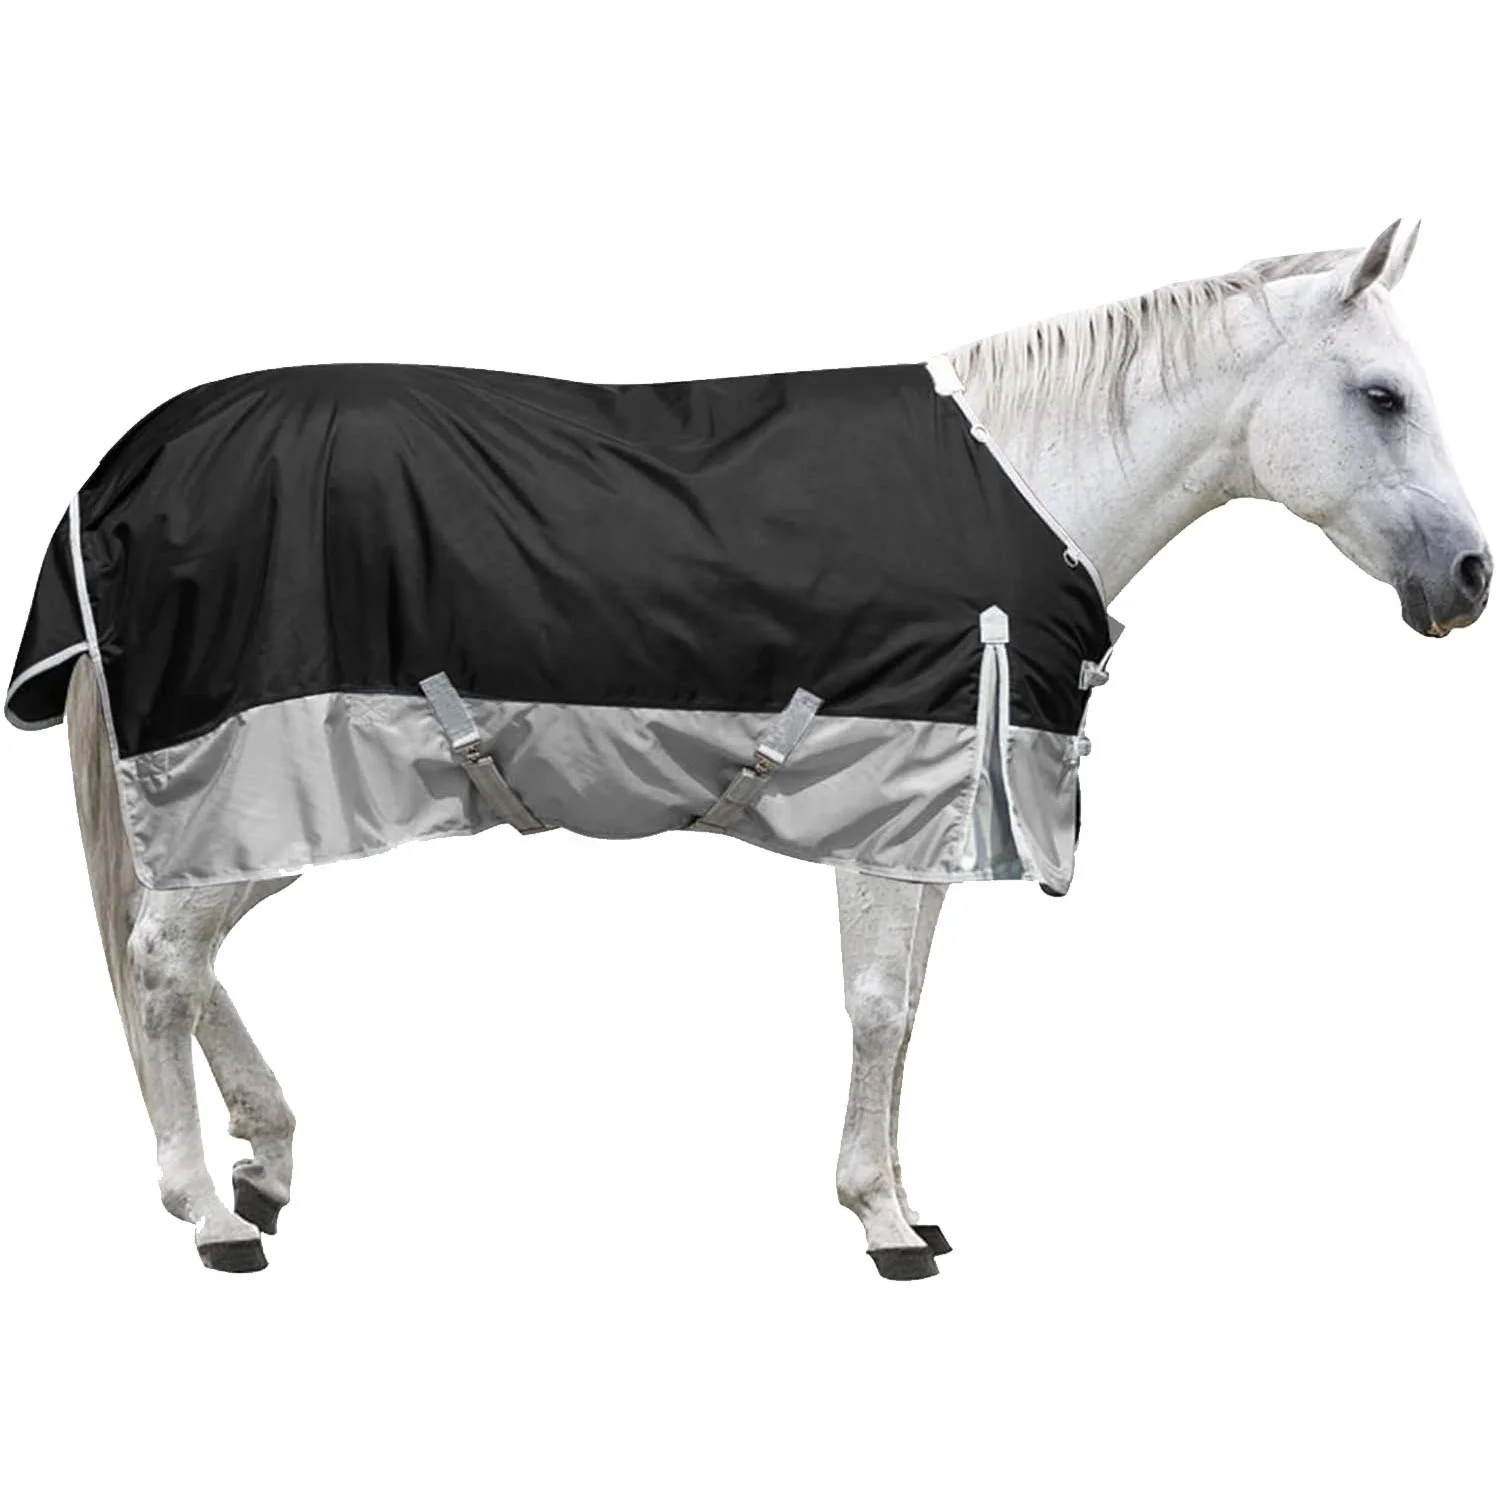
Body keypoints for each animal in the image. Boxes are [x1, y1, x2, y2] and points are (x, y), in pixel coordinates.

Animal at [12, 218, 1490, 1276]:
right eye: (1383, 397)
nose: (1471, 579)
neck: (1018, 487)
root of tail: (120, 476)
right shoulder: (883, 816)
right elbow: (880, 1012)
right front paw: (882, 1226)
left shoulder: (933, 815)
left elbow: (912, 1017)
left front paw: (907, 1203)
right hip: (261, 780)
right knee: (161, 964)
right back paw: (208, 1211)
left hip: (275, 801)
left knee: (182, 959)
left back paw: (263, 1164)